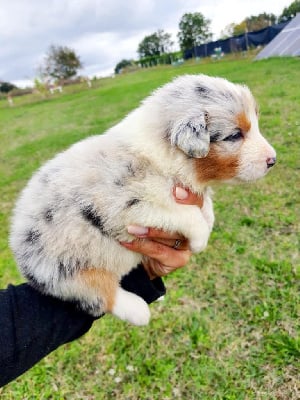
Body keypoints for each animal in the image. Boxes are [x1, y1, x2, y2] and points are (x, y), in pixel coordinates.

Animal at [9, 74, 276, 324]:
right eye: (234, 136)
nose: (273, 160)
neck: (163, 155)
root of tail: (18, 252)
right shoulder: (136, 206)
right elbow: (188, 215)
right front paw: (200, 241)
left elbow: (205, 205)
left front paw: (208, 219)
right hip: (65, 269)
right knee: (97, 294)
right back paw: (138, 310)